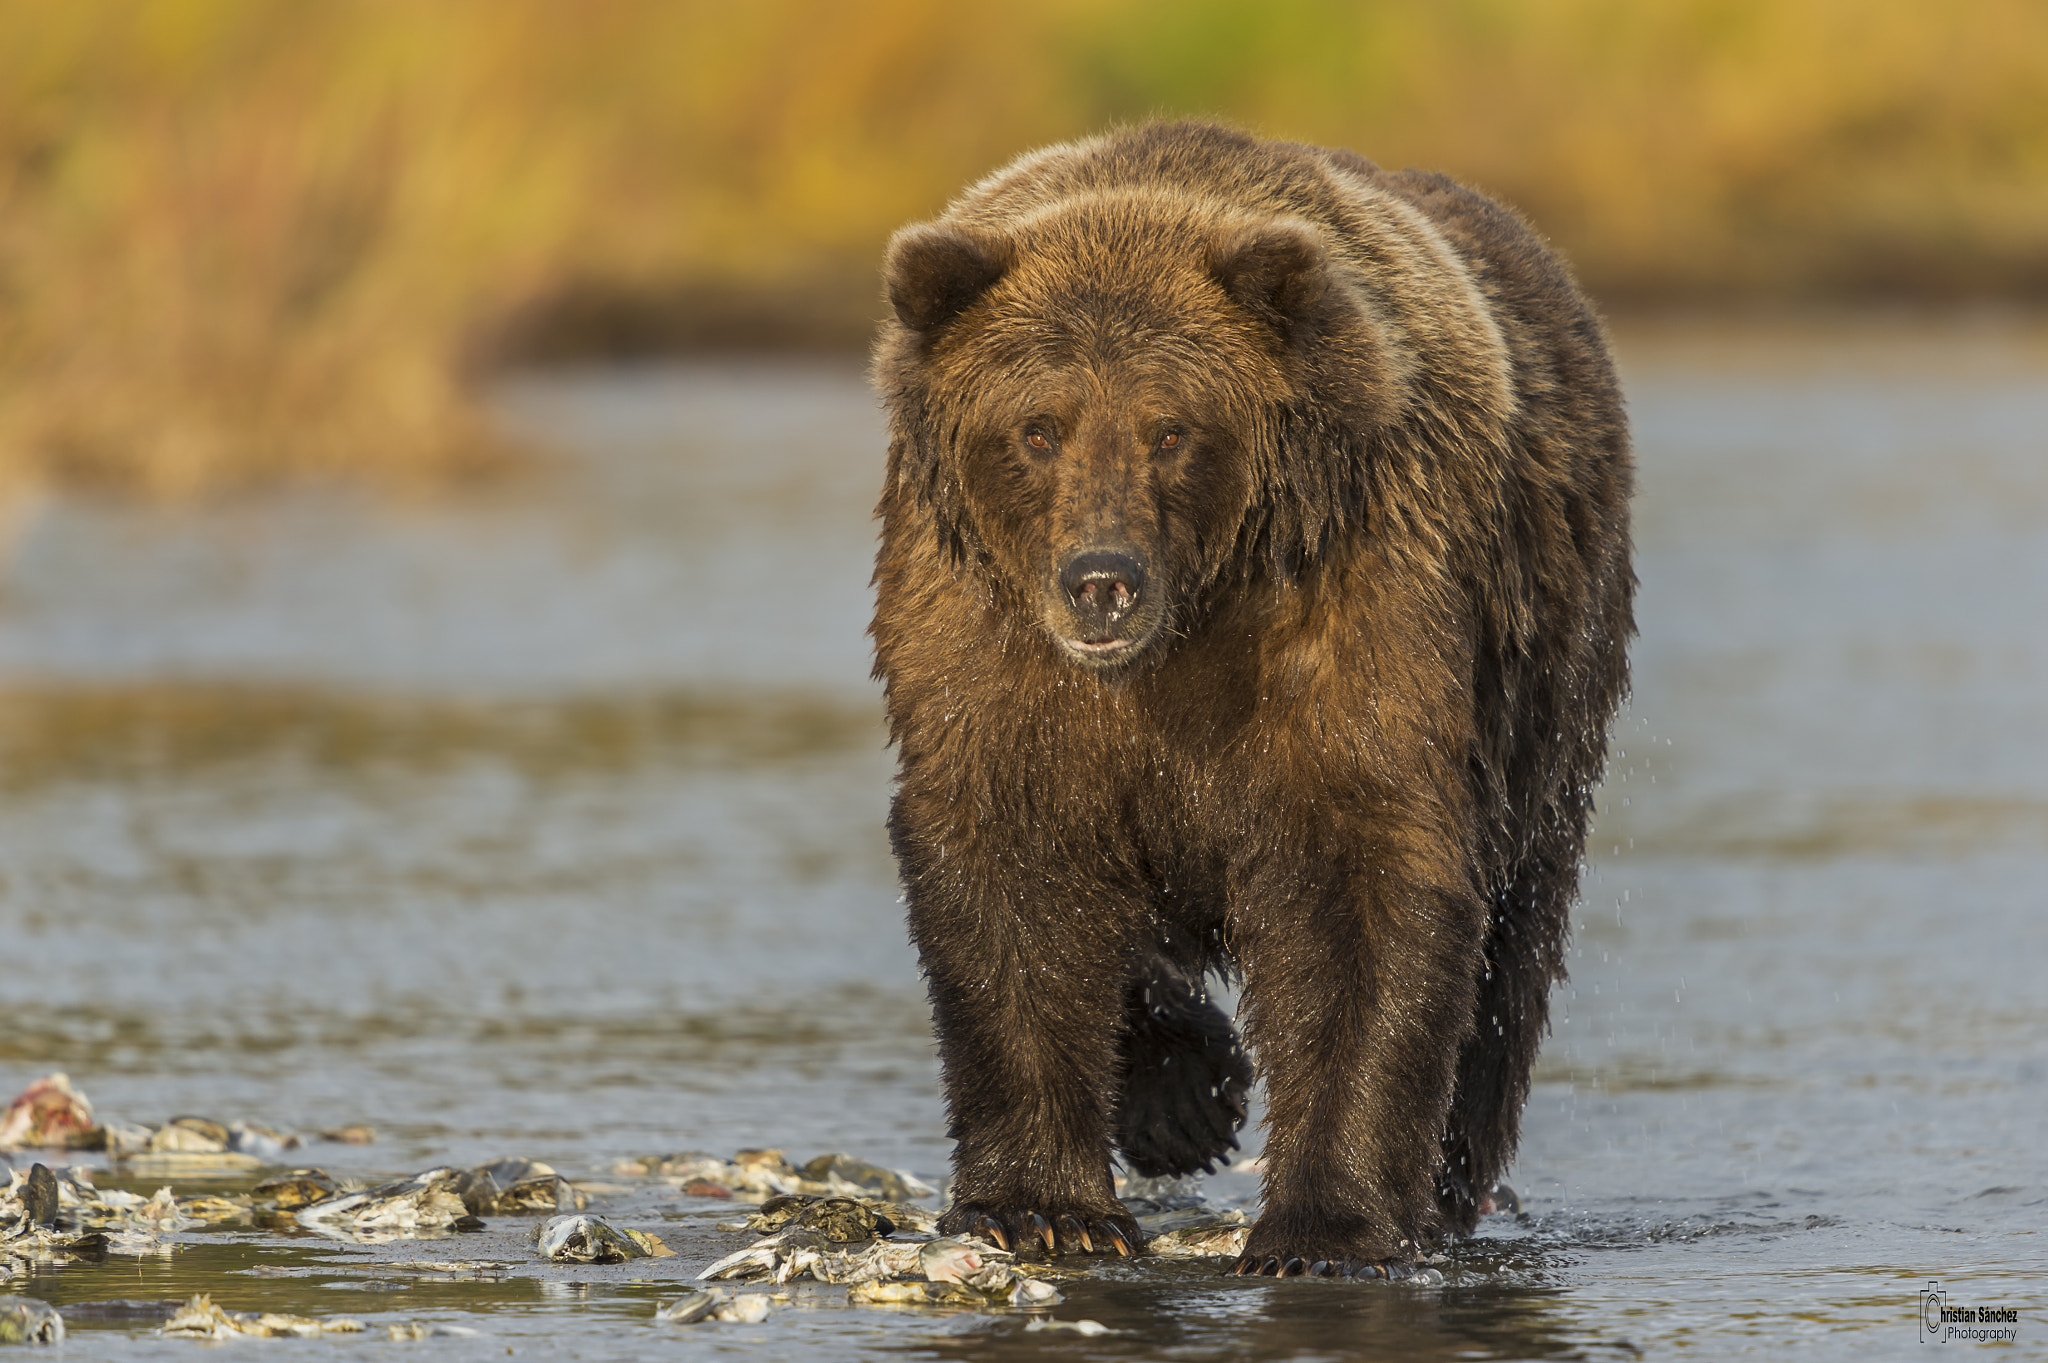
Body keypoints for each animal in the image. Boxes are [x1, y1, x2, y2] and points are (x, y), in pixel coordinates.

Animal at [864, 119, 1630, 1277]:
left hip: (1546, 667)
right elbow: (1010, 868)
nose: (1100, 579)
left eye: (1169, 428)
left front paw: (1323, 1226)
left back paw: (1448, 1178)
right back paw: (1181, 1096)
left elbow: (1364, 877)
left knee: (1514, 938)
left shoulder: (1355, 595)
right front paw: (1042, 1204)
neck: (1189, 628)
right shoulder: (984, 641)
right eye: (1038, 427)